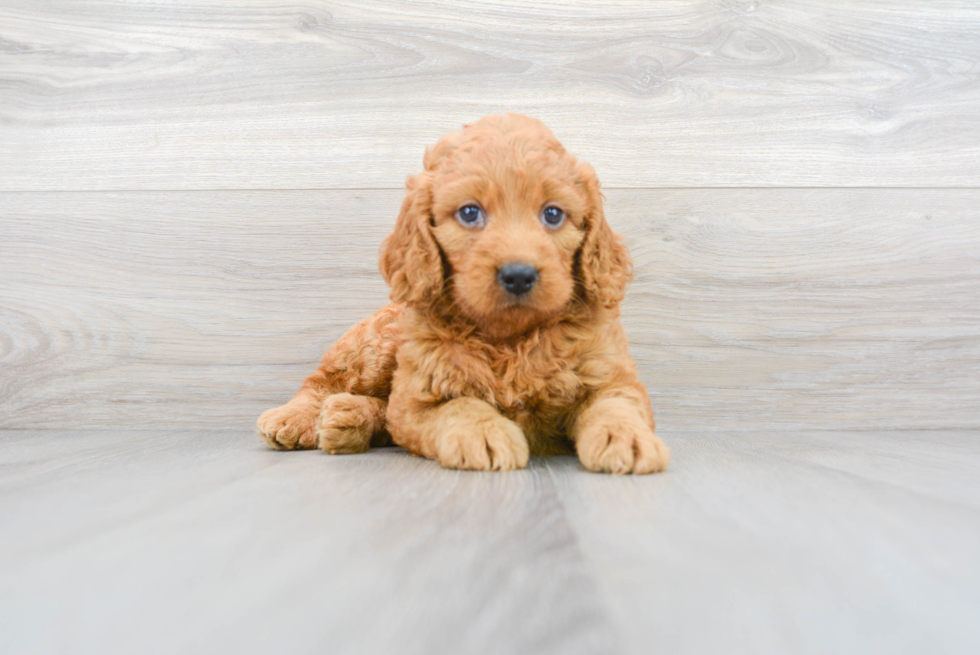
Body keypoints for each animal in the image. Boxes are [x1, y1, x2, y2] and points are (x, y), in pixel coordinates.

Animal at [256, 114, 668, 476]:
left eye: (553, 214)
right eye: (470, 213)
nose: (518, 275)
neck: (508, 337)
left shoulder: (609, 376)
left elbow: (616, 406)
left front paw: (627, 440)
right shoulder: (417, 401)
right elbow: (459, 406)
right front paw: (483, 435)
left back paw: (346, 419)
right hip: (376, 345)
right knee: (325, 380)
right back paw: (295, 417)